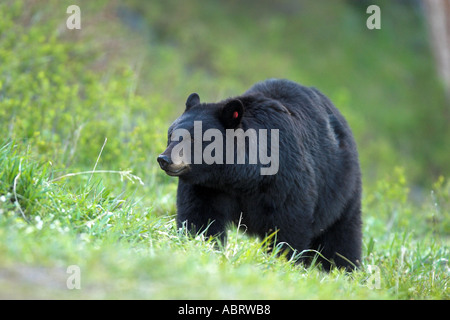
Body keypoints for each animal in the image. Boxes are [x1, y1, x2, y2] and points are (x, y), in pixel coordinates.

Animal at [158, 78, 362, 270]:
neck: (239, 178)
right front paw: (199, 245)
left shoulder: (285, 178)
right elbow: (199, 217)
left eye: (193, 139)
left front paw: (282, 260)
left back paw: (345, 268)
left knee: (342, 238)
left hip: (341, 189)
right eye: (171, 135)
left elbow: (289, 224)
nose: (164, 159)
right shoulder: (206, 186)